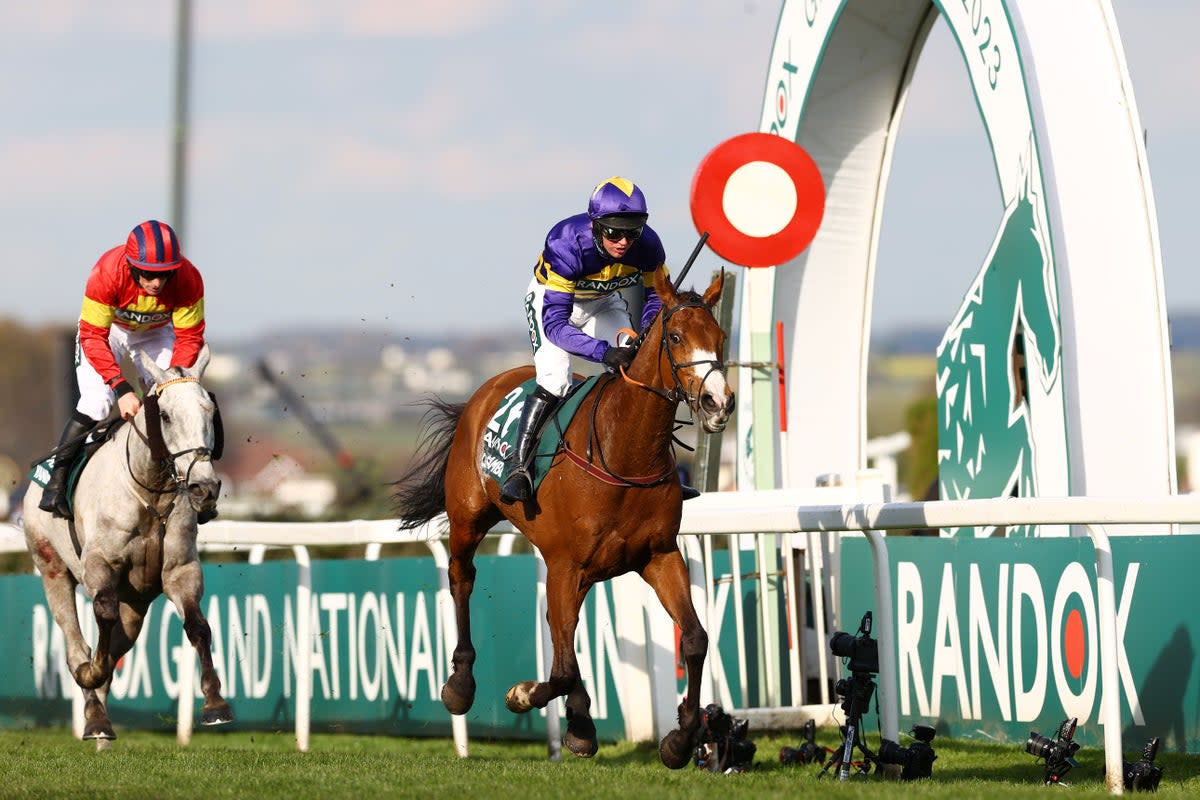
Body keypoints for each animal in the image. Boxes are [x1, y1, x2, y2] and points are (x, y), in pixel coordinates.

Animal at [21, 345, 230, 743]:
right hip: (51, 567)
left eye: (210, 412)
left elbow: (198, 626)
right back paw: (93, 708)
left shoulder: (179, 569)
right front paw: (91, 671)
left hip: (136, 601)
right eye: (164, 416)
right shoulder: (98, 565)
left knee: (119, 639)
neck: (153, 494)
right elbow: (101, 618)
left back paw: (98, 717)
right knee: (76, 646)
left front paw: (215, 704)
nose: (205, 488)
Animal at [396, 271, 729, 767]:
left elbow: (693, 639)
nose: (717, 402)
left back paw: (581, 722)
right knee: (462, 579)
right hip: (471, 518)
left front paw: (678, 741)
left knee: (561, 632)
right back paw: (461, 686)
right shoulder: (565, 563)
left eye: (720, 338)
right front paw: (522, 695)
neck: (624, 450)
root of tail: (488, 387)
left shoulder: (658, 555)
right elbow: (564, 666)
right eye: (674, 337)